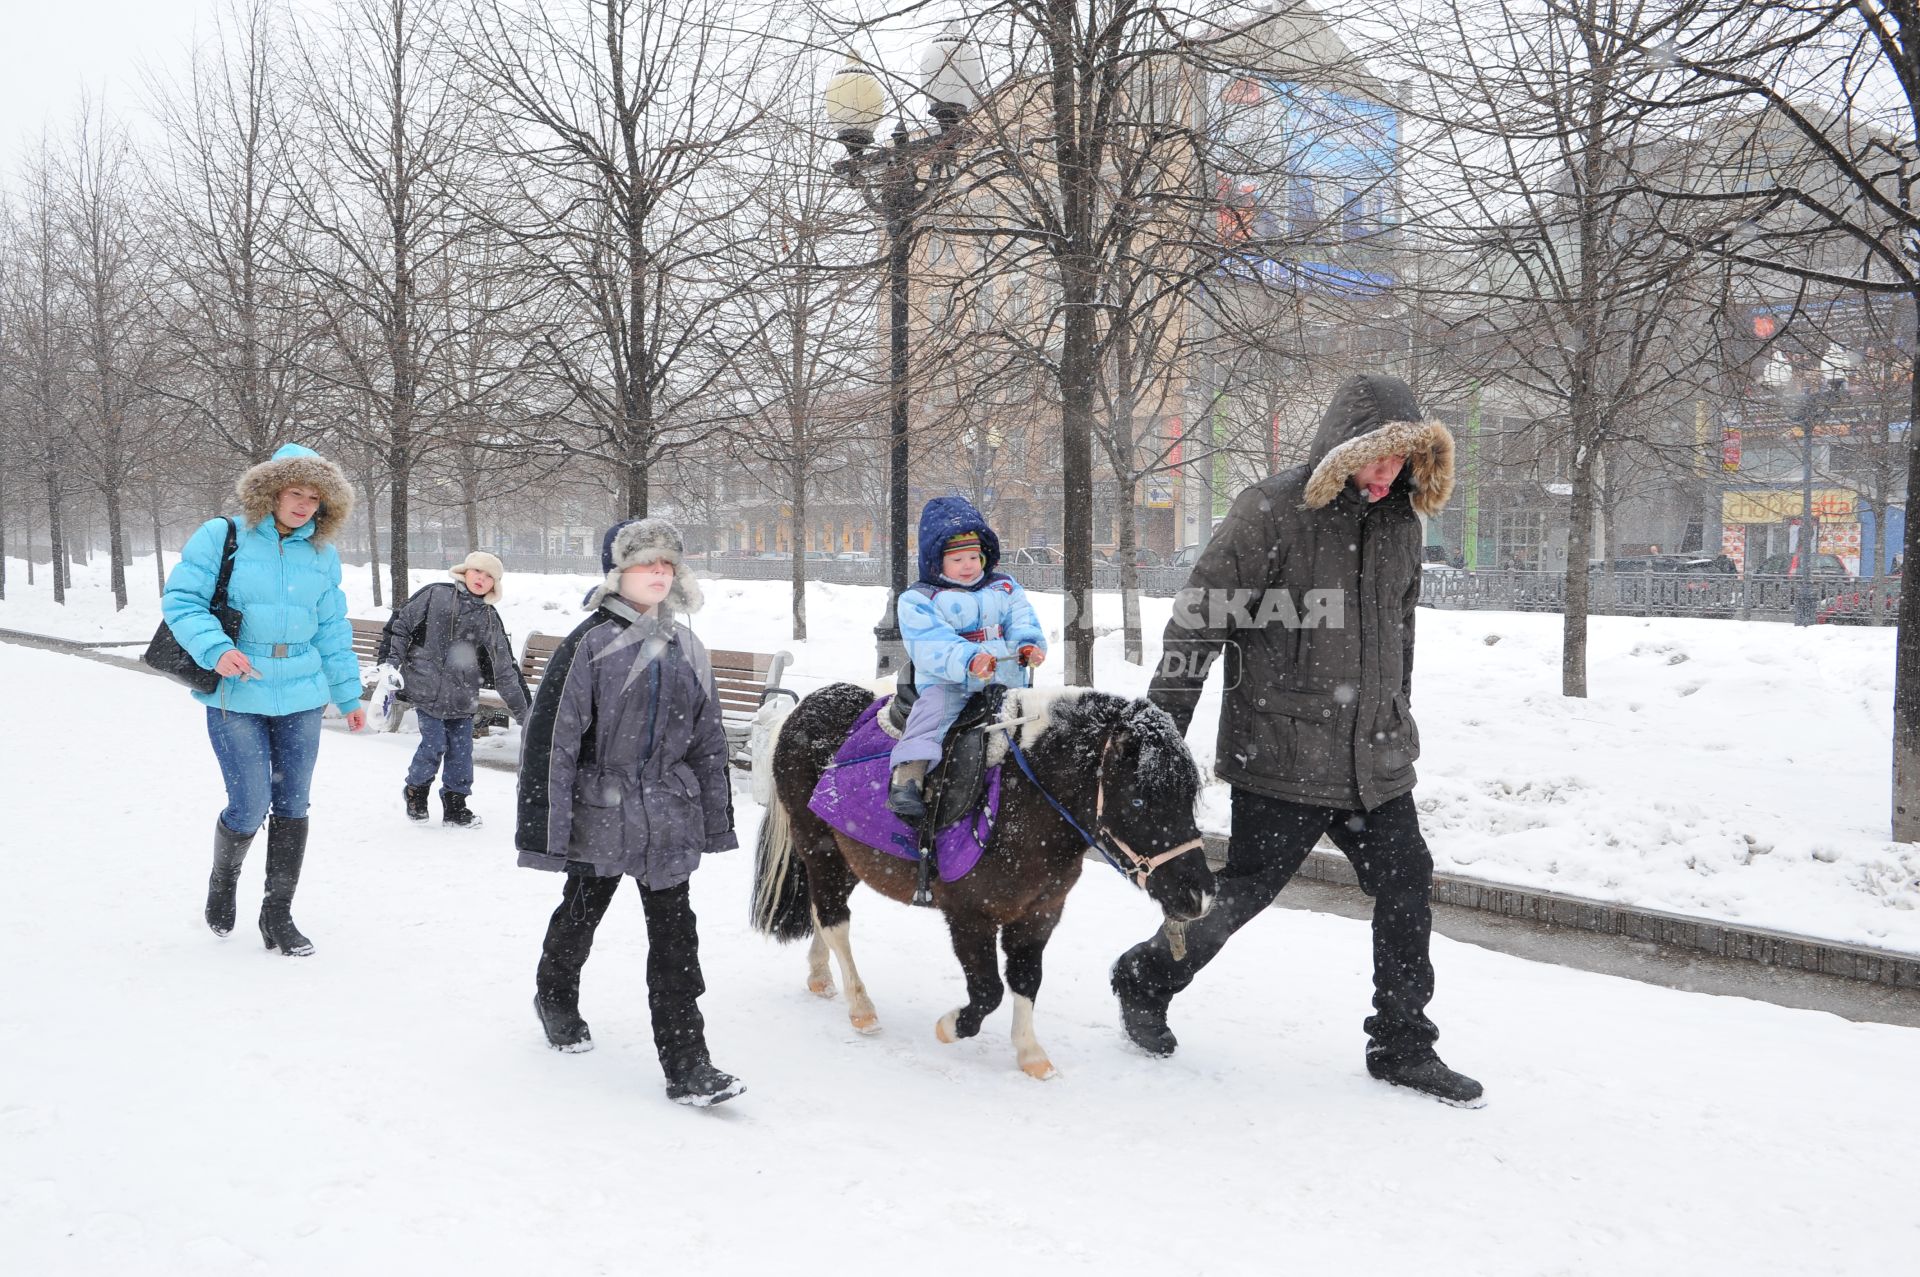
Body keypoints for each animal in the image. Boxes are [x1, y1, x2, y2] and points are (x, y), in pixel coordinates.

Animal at [748, 675, 1213, 1075]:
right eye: (1138, 801)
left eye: (1189, 797)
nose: (1201, 896)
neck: (1023, 799)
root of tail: (802, 708)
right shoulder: (970, 916)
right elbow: (988, 991)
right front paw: (950, 1026)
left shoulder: (1041, 913)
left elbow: (1026, 979)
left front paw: (1030, 1053)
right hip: (820, 847)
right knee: (834, 920)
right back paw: (861, 1008)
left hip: (847, 859)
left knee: (821, 911)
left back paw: (820, 974)